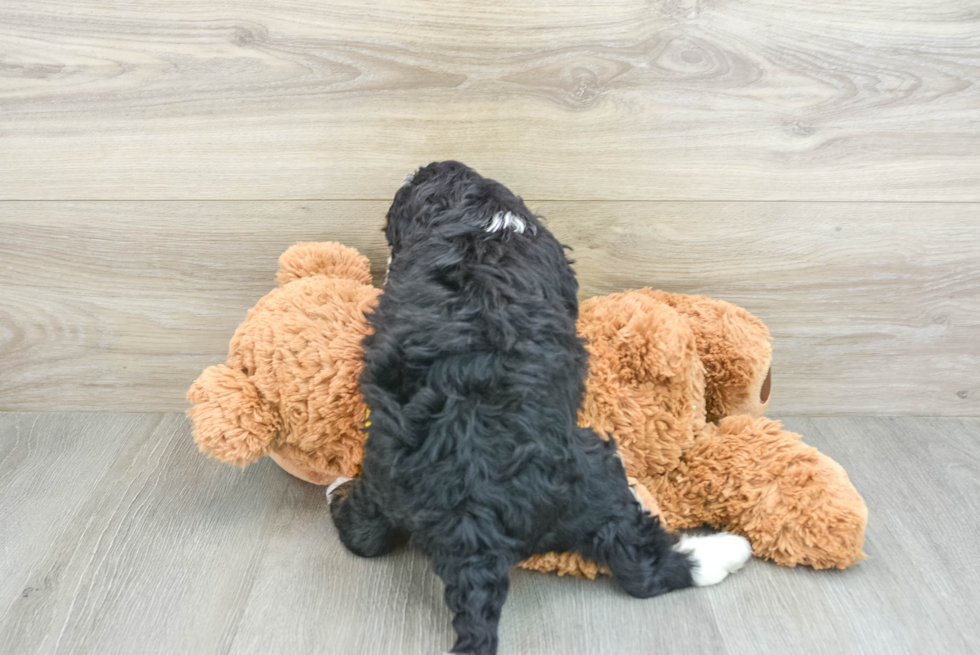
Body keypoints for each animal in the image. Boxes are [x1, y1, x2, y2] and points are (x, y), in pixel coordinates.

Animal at [330, 160, 752, 655]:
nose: (425, 167)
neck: (475, 216)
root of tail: (471, 525)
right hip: (596, 477)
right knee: (641, 566)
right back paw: (725, 550)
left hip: (384, 479)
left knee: (363, 535)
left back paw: (339, 496)